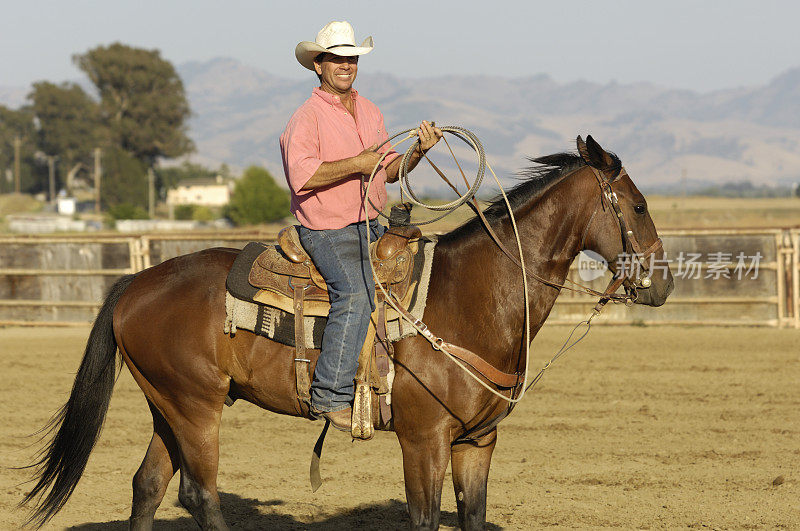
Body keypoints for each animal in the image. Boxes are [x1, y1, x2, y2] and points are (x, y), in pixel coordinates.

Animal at [23, 135, 676, 528]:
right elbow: (423, 518)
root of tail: (134, 283)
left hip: (170, 404)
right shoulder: (423, 440)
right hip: (195, 407)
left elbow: (472, 516)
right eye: (639, 205)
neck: (471, 297)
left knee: (148, 486)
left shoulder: (477, 442)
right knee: (199, 495)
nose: (663, 284)